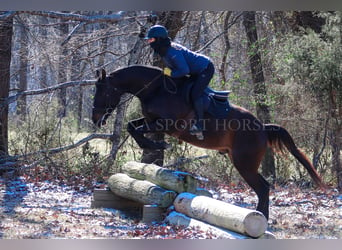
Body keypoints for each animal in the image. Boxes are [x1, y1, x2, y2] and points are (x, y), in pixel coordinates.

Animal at [90, 64, 324, 219]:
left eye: (103, 90)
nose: (95, 119)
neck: (156, 90)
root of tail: (263, 128)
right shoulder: (151, 121)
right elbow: (132, 126)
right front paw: (152, 145)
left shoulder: (166, 124)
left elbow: (136, 129)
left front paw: (157, 145)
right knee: (263, 188)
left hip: (244, 163)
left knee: (263, 188)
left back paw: (260, 218)